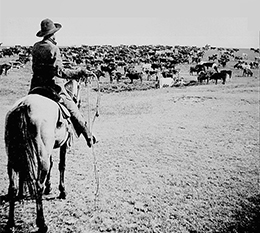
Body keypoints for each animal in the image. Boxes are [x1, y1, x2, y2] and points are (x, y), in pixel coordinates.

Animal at [4, 74, 93, 233]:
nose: (78, 102)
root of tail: (23, 106)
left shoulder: (49, 149)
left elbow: (52, 165)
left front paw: (49, 187)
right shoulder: (63, 145)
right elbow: (61, 165)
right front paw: (62, 191)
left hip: (13, 157)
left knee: (12, 188)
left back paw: (11, 222)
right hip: (41, 156)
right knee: (37, 185)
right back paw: (42, 223)